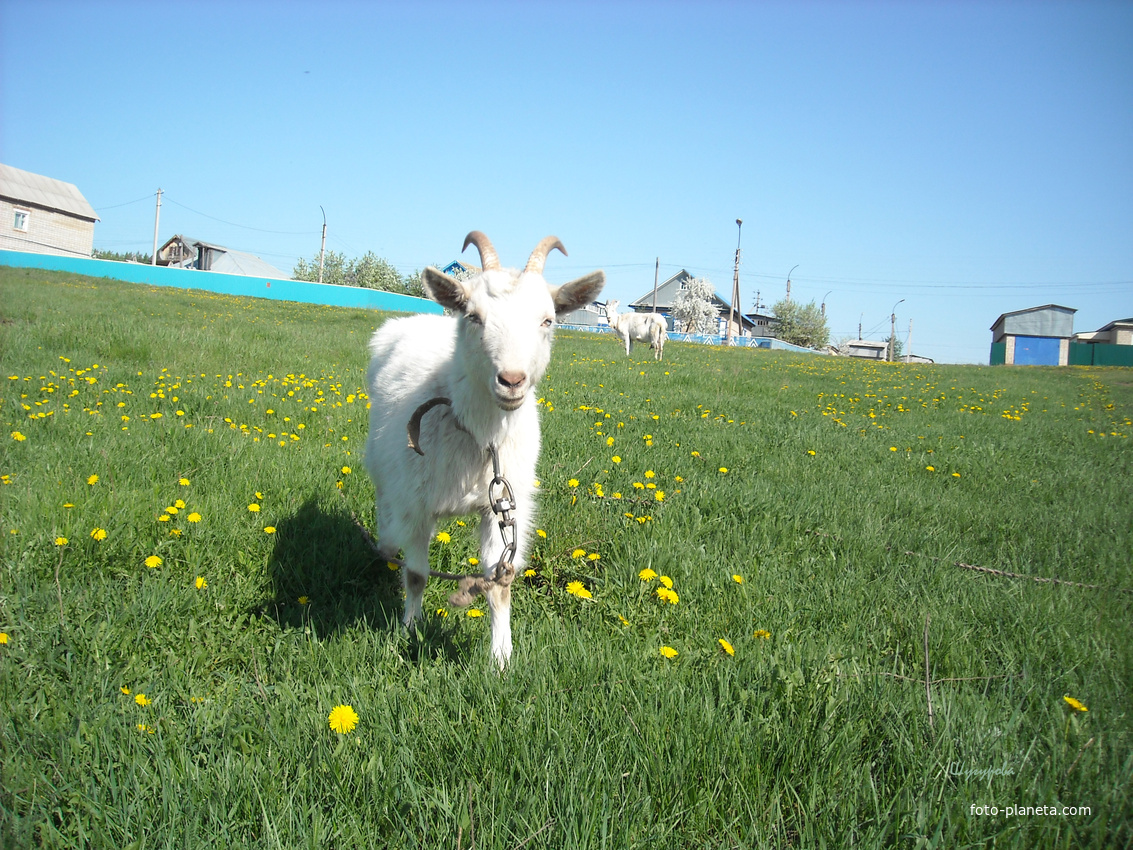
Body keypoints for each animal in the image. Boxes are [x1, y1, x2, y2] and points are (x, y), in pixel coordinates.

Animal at [367, 231, 607, 666]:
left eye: (547, 320)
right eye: (473, 316)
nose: (511, 380)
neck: (479, 435)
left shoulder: (504, 505)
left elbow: (498, 580)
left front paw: (501, 658)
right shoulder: (415, 503)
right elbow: (417, 574)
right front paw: (410, 629)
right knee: (387, 517)